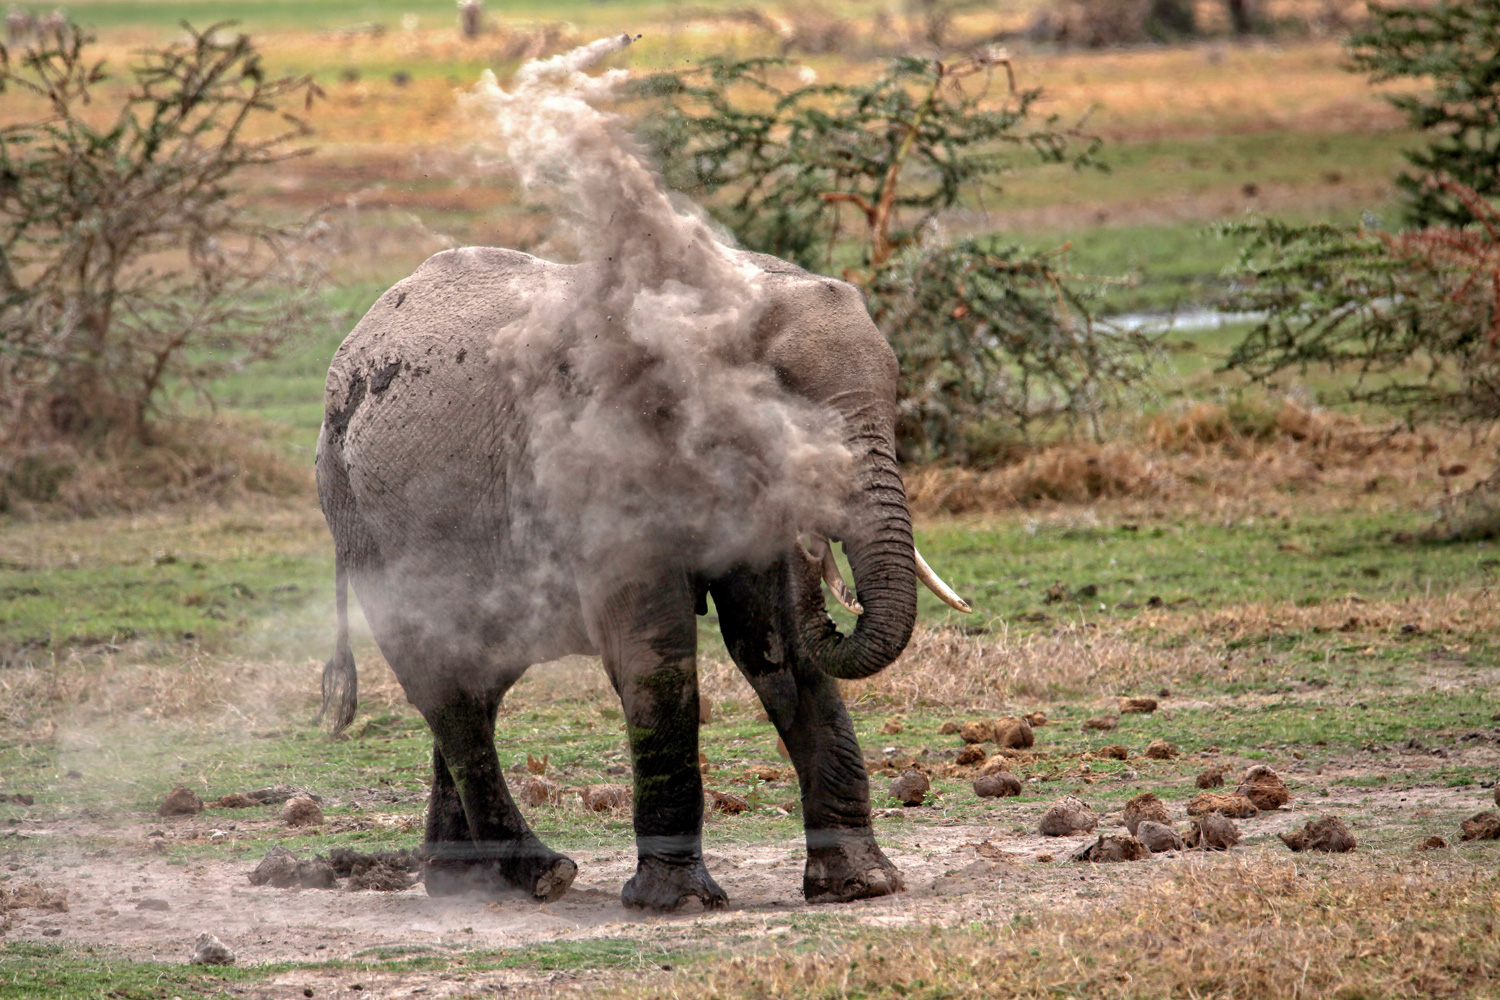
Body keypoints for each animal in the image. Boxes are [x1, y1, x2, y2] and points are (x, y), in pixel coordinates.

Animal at [316, 244, 972, 917]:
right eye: (782, 411)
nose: (814, 545)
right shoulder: (600, 460)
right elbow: (657, 653)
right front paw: (677, 902)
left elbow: (777, 649)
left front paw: (860, 886)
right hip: (362, 517)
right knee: (446, 689)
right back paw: (541, 875)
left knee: (479, 682)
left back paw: (464, 883)